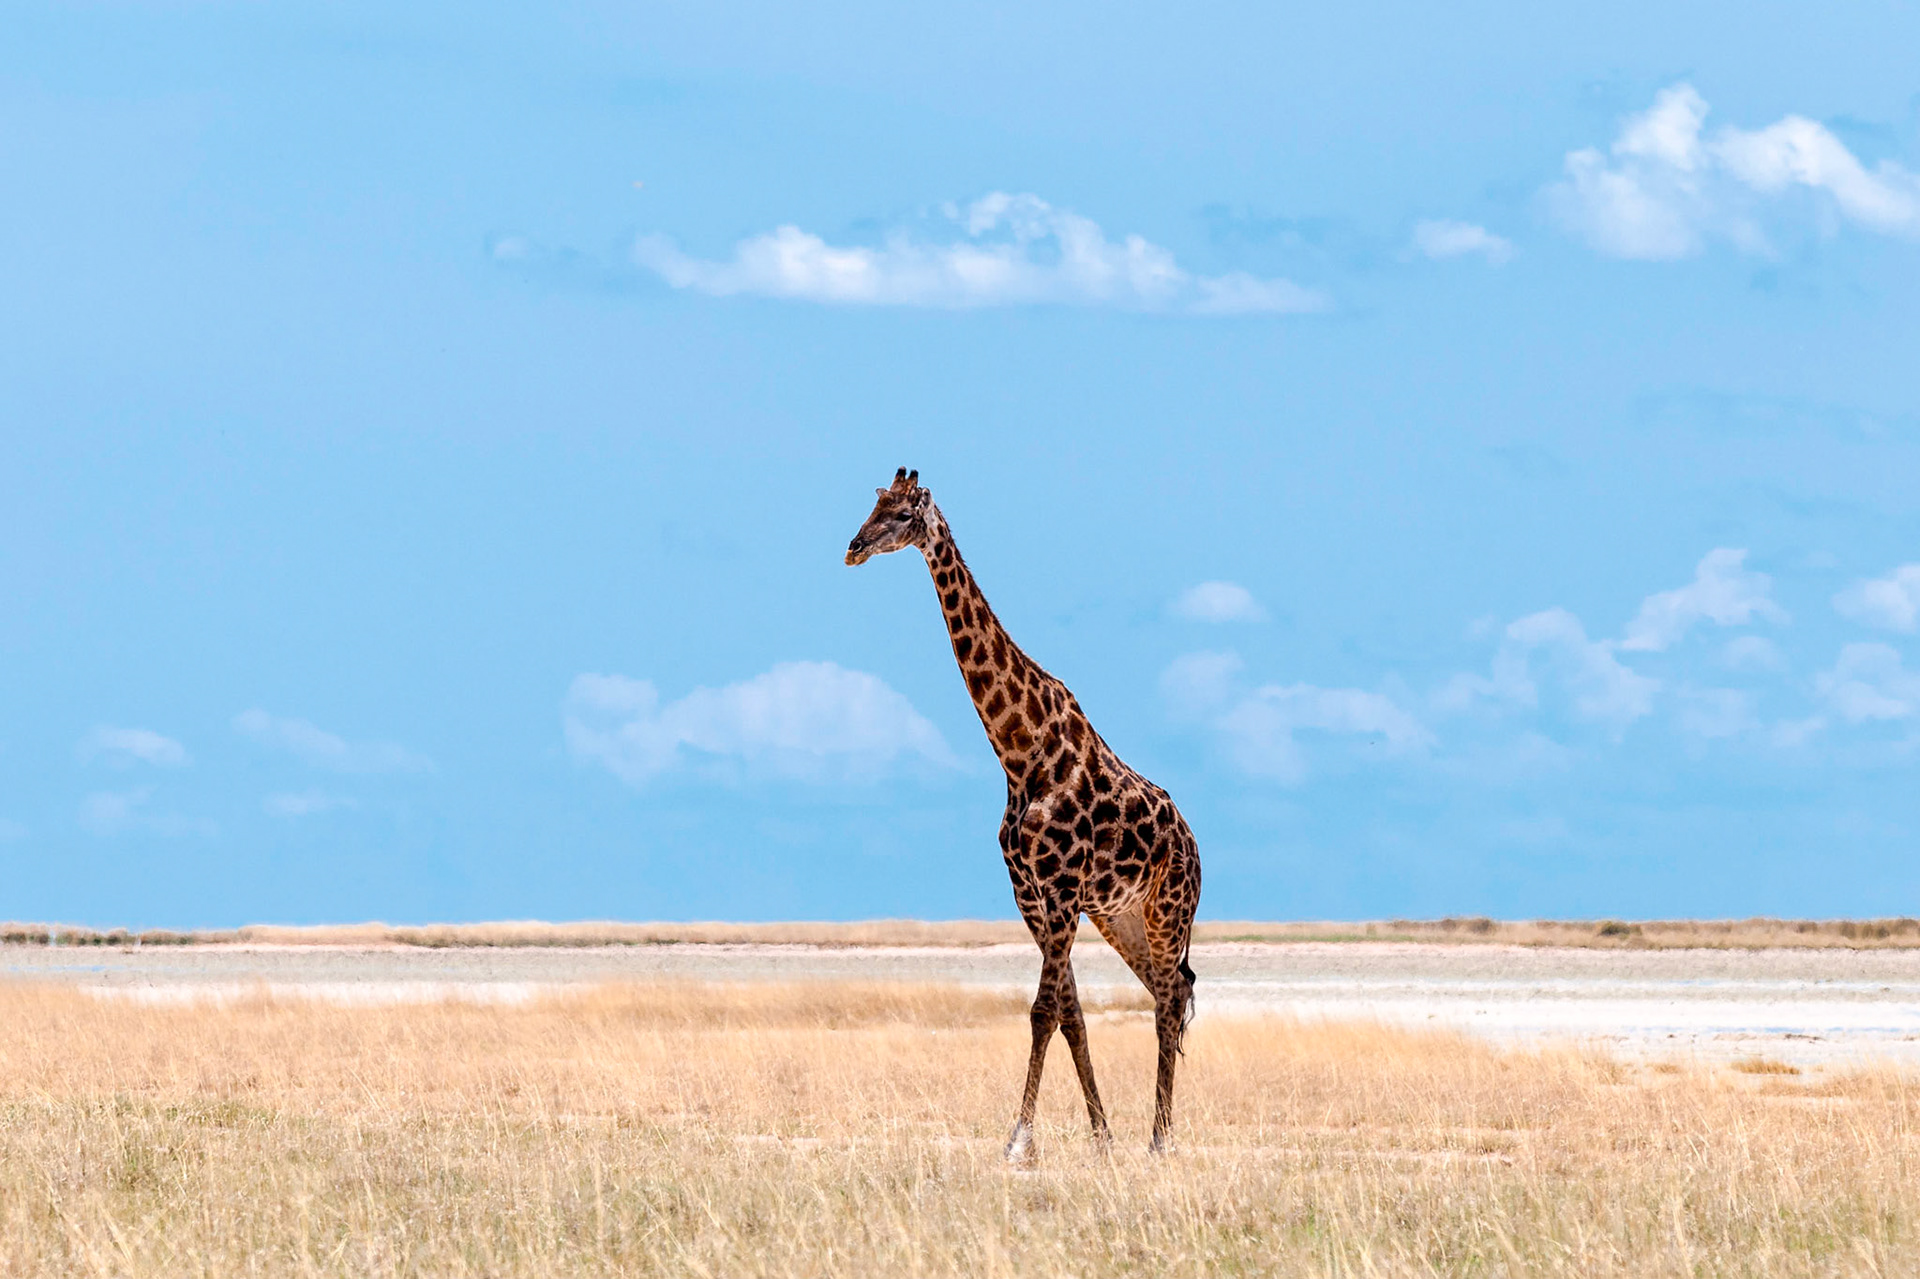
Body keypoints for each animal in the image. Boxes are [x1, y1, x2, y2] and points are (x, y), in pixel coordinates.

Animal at [846, 467, 1202, 1159]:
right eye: (872, 505)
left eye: (902, 514)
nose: (852, 548)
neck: (1019, 752)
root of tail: (1198, 848)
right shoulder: (1032, 895)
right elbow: (1069, 1014)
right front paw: (1100, 1137)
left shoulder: (1061, 893)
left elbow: (1042, 1012)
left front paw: (1018, 1141)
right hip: (1122, 917)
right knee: (1167, 990)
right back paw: (1150, 1134)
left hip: (1168, 909)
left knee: (1172, 999)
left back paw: (1161, 1139)